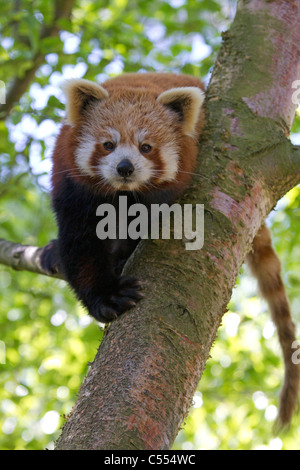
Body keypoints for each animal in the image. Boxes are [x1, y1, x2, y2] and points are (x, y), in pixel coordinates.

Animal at [41, 71, 298, 428]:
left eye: (146, 147)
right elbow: (81, 248)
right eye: (108, 144)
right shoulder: (73, 188)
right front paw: (107, 296)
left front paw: (120, 265)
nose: (125, 166)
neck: (123, 194)